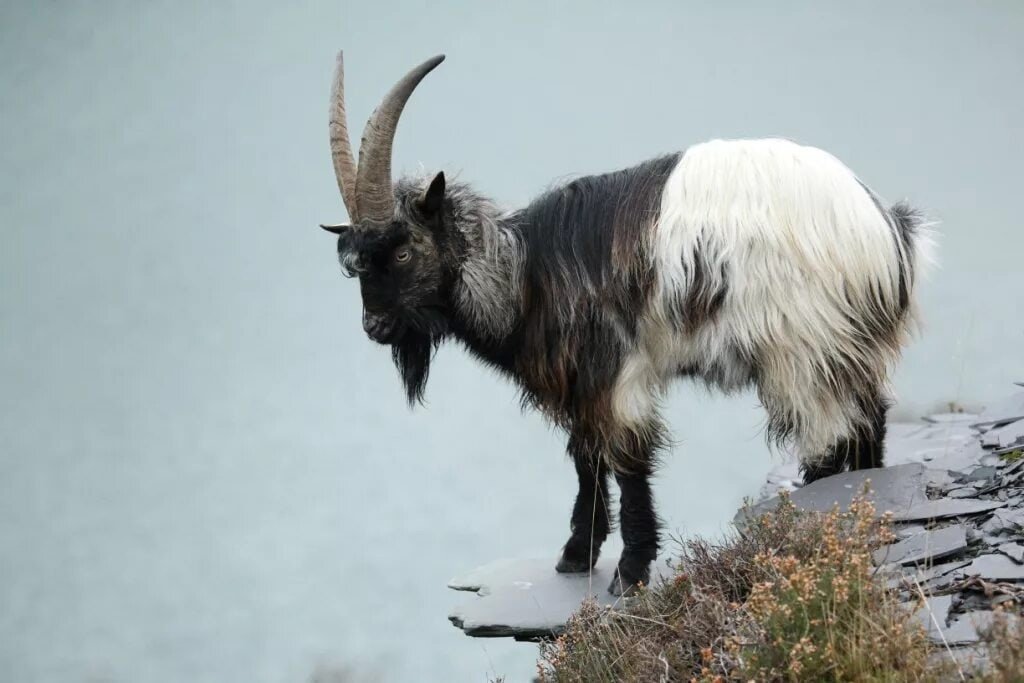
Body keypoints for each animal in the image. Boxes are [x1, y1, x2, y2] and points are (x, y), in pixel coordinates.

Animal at [317, 53, 929, 593]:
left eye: (401, 251)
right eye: (355, 264)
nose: (374, 327)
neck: (525, 272)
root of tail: (886, 231)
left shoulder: (615, 372)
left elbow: (628, 459)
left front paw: (629, 573)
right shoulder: (580, 384)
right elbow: (585, 457)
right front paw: (576, 555)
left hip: (804, 348)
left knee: (834, 430)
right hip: (845, 346)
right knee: (869, 419)